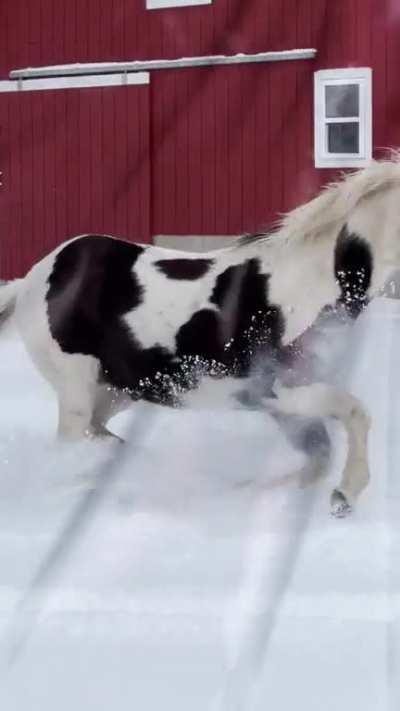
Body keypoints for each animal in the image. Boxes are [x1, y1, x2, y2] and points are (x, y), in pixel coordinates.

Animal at [1, 158, 399, 517]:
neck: (310, 286)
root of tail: (32, 279)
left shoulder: (280, 401)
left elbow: (318, 455)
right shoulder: (280, 389)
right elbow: (355, 414)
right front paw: (345, 495)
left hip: (120, 389)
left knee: (97, 433)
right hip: (76, 389)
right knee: (72, 441)